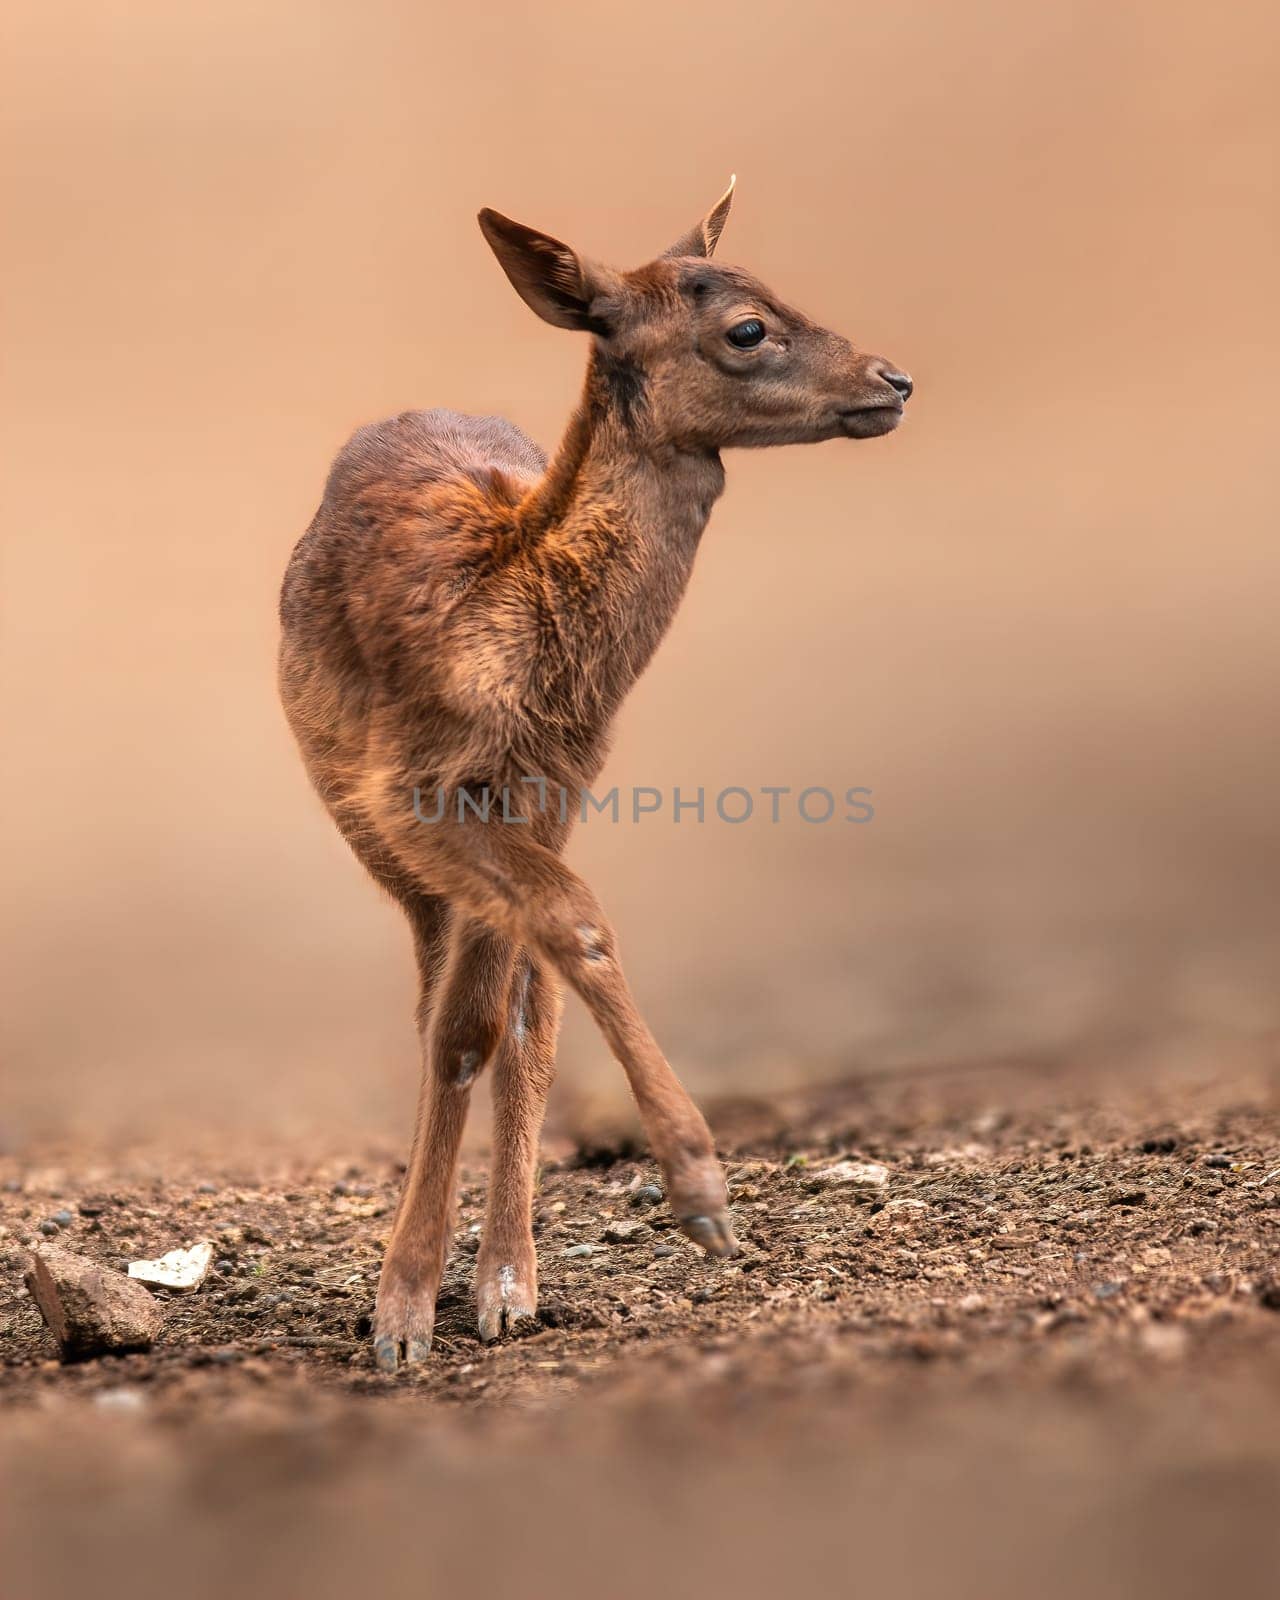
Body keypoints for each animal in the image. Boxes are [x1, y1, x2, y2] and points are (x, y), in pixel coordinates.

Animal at [280, 181, 908, 1369]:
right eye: (746, 328)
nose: (891, 379)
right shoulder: (412, 795)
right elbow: (513, 979)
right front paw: (400, 1314)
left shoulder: (551, 785)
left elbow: (515, 1003)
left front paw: (487, 1287)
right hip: (371, 834)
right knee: (452, 1007)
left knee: (521, 1013)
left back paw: (511, 1282)